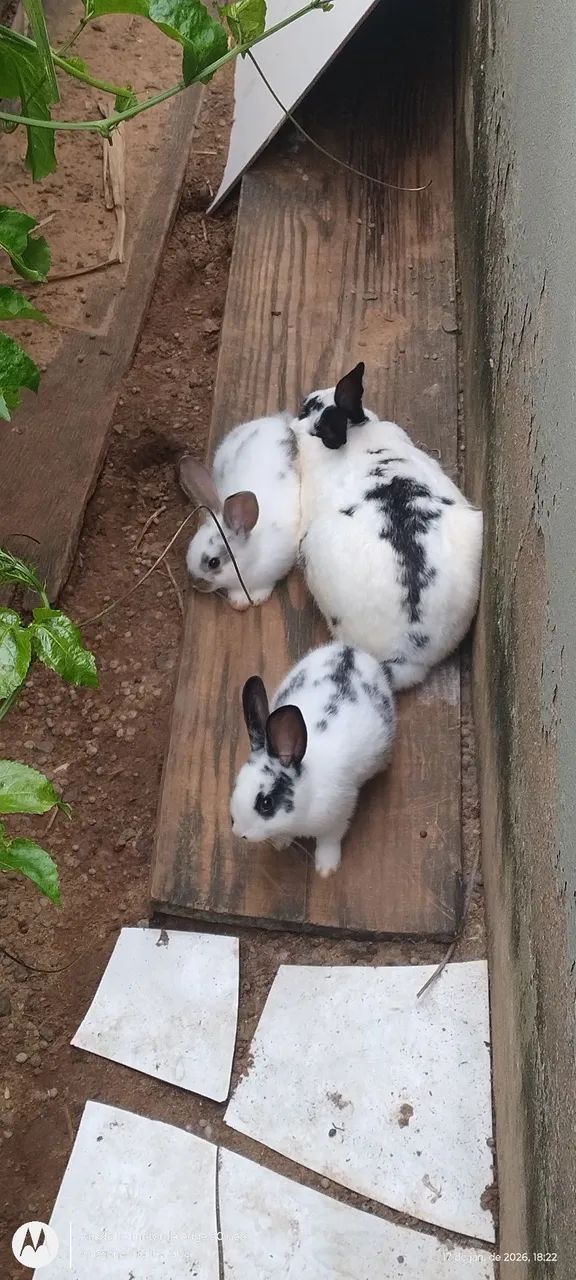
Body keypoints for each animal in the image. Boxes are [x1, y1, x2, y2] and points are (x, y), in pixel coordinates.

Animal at [178, 413, 300, 610]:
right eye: (190, 547)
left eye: (214, 562)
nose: (195, 583)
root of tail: (274, 421)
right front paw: (239, 601)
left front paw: (255, 599)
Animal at [230, 642, 396, 878]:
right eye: (236, 784)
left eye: (266, 803)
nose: (239, 832)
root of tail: (350, 650)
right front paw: (280, 843)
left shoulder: (338, 816)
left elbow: (329, 840)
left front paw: (326, 868)